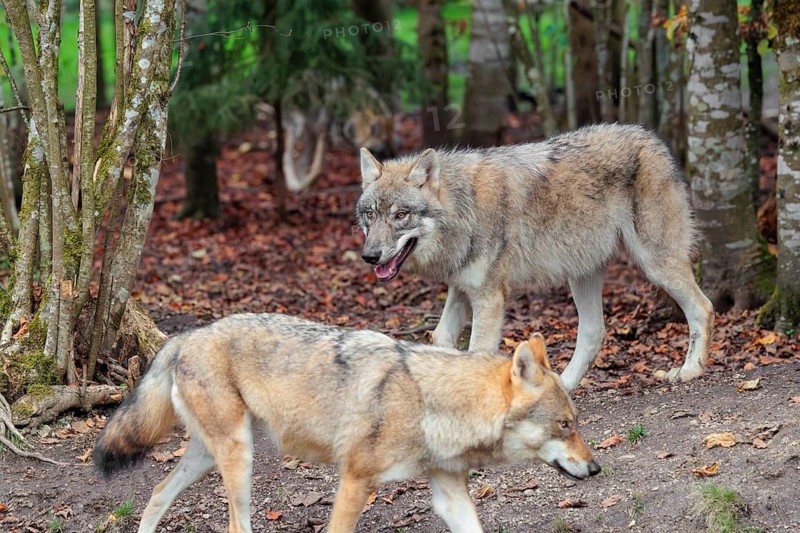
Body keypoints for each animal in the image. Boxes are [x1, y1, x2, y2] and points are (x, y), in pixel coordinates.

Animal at [94, 314, 599, 533]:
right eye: (564, 425)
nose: (596, 469)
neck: (430, 402)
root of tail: (186, 335)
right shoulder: (355, 481)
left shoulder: (448, 490)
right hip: (240, 459)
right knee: (234, 525)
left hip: (207, 457)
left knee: (157, 493)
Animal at [356, 123, 715, 391]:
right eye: (370, 215)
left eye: (401, 215)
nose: (370, 256)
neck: (462, 209)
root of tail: (652, 138)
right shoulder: (462, 288)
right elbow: (441, 338)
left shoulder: (489, 297)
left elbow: (475, 354)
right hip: (582, 273)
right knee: (593, 332)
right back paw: (563, 387)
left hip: (656, 266)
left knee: (703, 307)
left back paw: (690, 370)